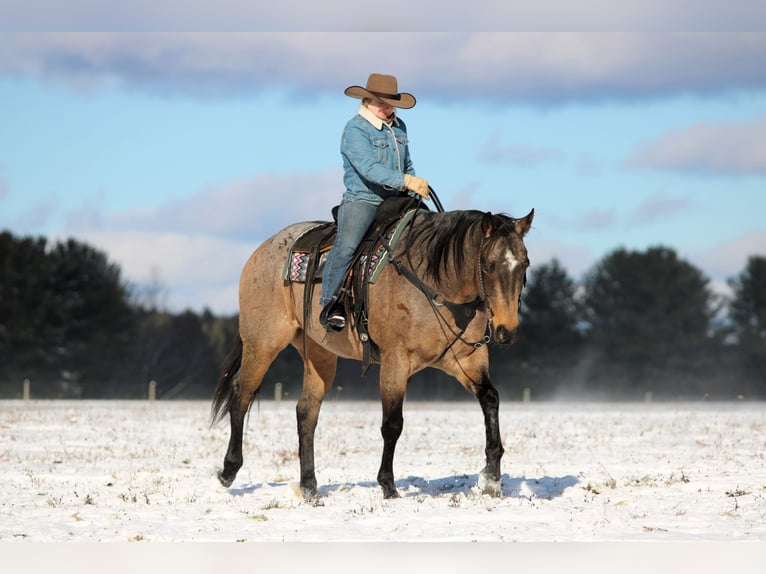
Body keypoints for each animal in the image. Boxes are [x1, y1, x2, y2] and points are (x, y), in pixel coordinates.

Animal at [211, 200, 534, 501]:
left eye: (525, 264)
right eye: (488, 265)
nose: (507, 330)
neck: (436, 282)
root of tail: (263, 250)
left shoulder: (466, 360)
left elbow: (491, 399)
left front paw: (491, 477)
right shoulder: (396, 361)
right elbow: (392, 424)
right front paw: (388, 485)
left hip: (319, 354)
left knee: (306, 412)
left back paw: (310, 487)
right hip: (262, 343)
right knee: (241, 394)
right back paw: (228, 471)